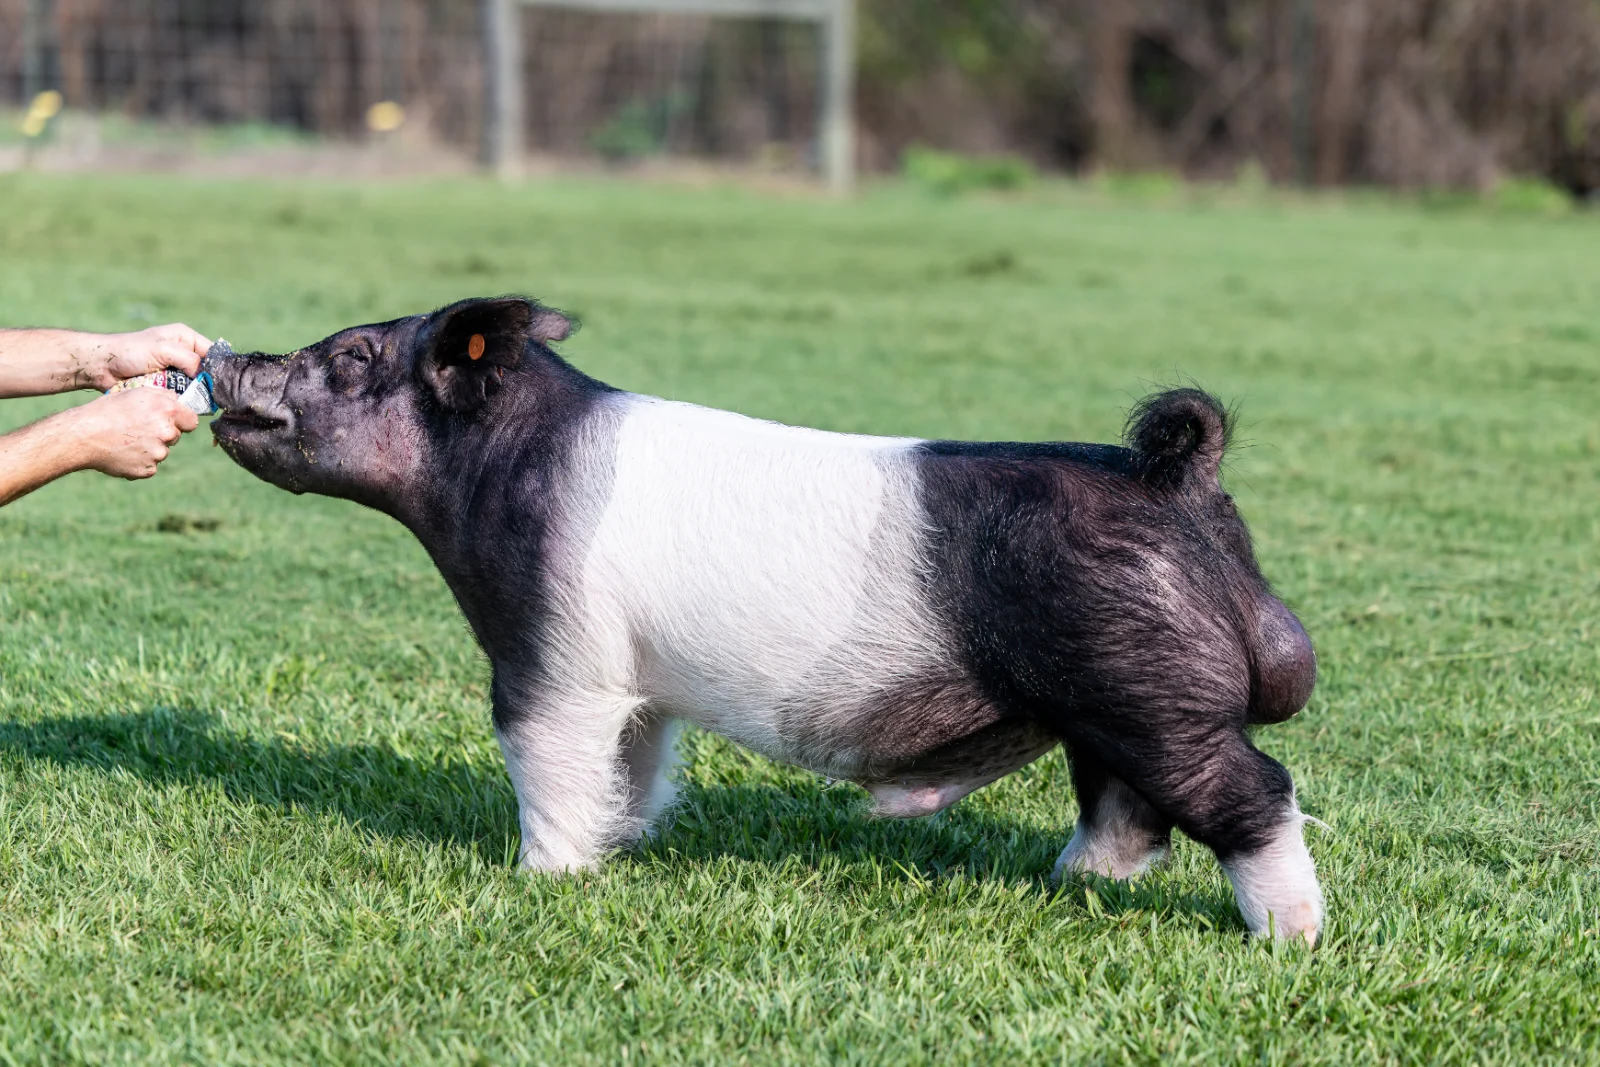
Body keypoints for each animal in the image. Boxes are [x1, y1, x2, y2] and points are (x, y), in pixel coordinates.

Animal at [210, 296, 1323, 943]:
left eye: (354, 358)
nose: (231, 357)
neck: (491, 473)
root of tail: (1175, 480)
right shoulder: (634, 682)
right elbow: (633, 764)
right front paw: (627, 844)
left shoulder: (553, 653)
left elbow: (543, 758)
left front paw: (544, 879)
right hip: (1107, 699)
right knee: (1127, 810)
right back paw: (1066, 884)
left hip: (1151, 693)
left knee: (1255, 792)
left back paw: (1288, 938)